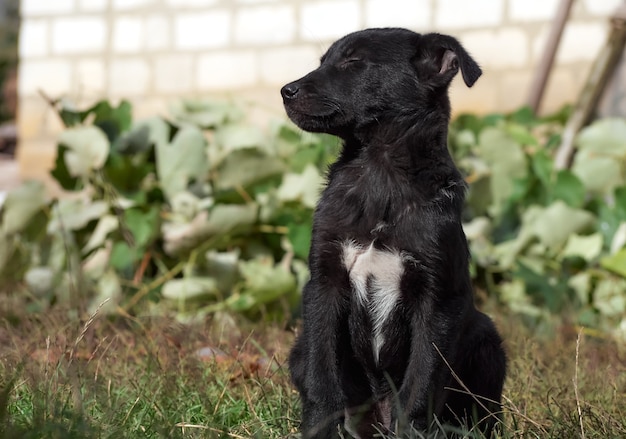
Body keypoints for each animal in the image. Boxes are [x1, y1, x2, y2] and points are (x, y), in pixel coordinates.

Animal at [280, 28, 504, 439]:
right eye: (322, 61)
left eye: (354, 62)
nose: (286, 91)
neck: (379, 170)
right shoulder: (324, 284)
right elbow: (323, 378)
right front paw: (319, 430)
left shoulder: (437, 301)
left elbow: (421, 383)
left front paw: (411, 431)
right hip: (300, 349)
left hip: (486, 337)